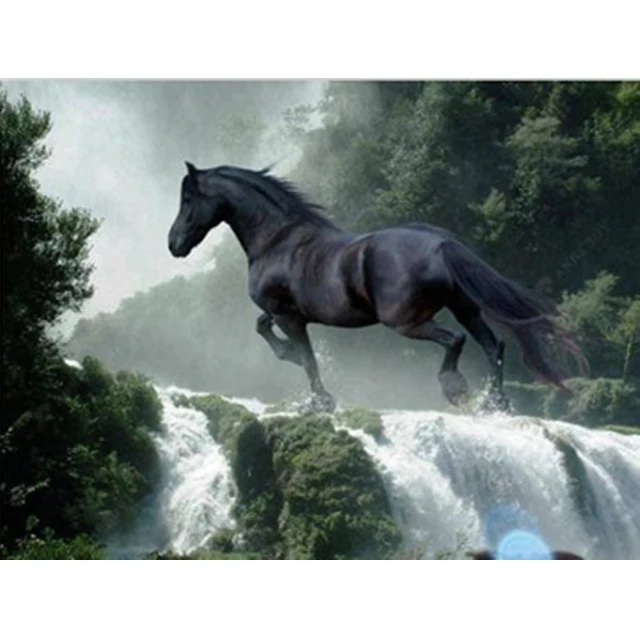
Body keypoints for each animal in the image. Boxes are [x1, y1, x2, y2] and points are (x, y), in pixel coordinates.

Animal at [168, 162, 586, 413]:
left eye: (188, 199)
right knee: (492, 345)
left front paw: (321, 401)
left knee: (456, 341)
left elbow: (306, 358)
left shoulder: (289, 316)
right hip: (465, 308)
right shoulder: (283, 314)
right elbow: (267, 331)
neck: (277, 241)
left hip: (406, 322)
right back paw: (494, 404)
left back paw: (455, 388)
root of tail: (441, 244)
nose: (173, 244)